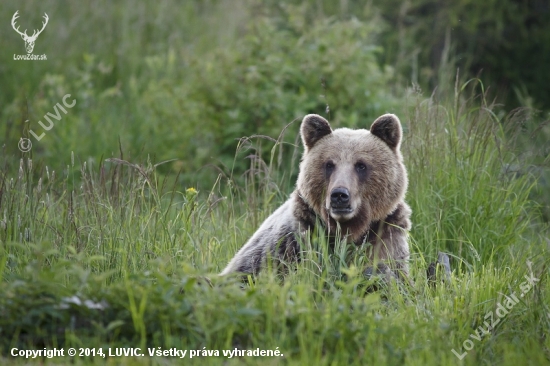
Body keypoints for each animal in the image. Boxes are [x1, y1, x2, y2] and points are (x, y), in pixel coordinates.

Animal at [222, 114, 412, 280]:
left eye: (361, 165)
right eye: (329, 164)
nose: (339, 195)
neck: (348, 228)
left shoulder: (385, 235)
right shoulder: (293, 242)